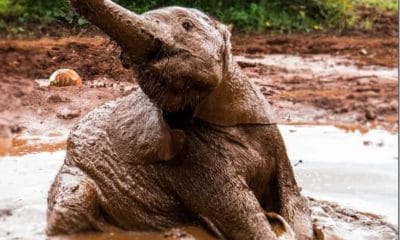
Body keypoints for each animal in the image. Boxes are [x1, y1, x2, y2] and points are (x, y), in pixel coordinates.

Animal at [47, 0, 314, 239]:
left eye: (187, 25)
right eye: (126, 60)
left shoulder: (268, 130)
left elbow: (292, 198)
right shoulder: (192, 161)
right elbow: (244, 220)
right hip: (75, 174)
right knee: (70, 210)